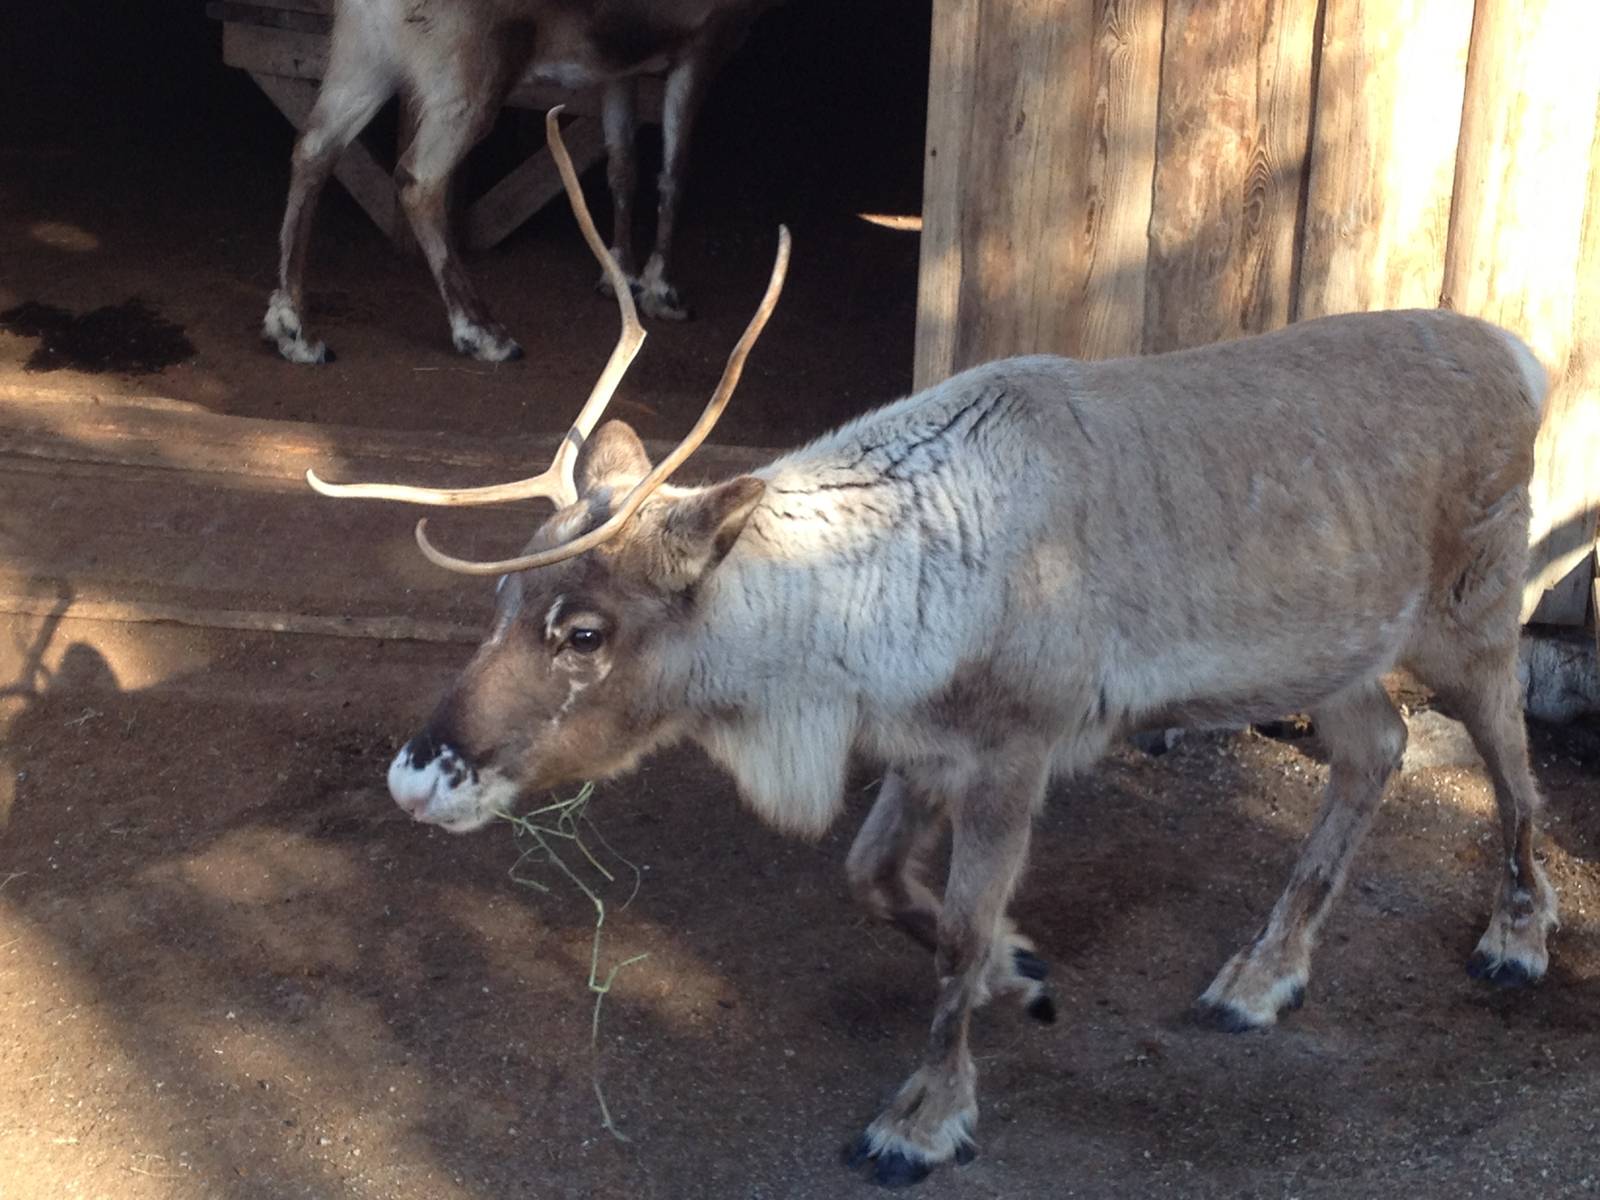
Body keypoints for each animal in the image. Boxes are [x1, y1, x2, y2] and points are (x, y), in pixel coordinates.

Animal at [263, 0, 771, 366]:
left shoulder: (618, 62)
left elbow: (623, 165)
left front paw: (619, 274)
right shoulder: (705, 39)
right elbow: (675, 170)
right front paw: (663, 290)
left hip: (364, 54)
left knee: (313, 148)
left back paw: (294, 329)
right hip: (466, 71)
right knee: (418, 177)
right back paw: (483, 333)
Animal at [308, 112, 1559, 1187]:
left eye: (583, 630)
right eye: (502, 595)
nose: (416, 777)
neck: (847, 629)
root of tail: (1523, 355)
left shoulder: (1017, 748)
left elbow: (951, 927)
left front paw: (922, 1116)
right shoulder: (919, 743)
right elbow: (874, 879)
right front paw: (1022, 970)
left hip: (1472, 607)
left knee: (1508, 756)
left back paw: (1514, 936)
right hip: (1333, 647)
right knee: (1374, 746)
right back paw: (1261, 975)